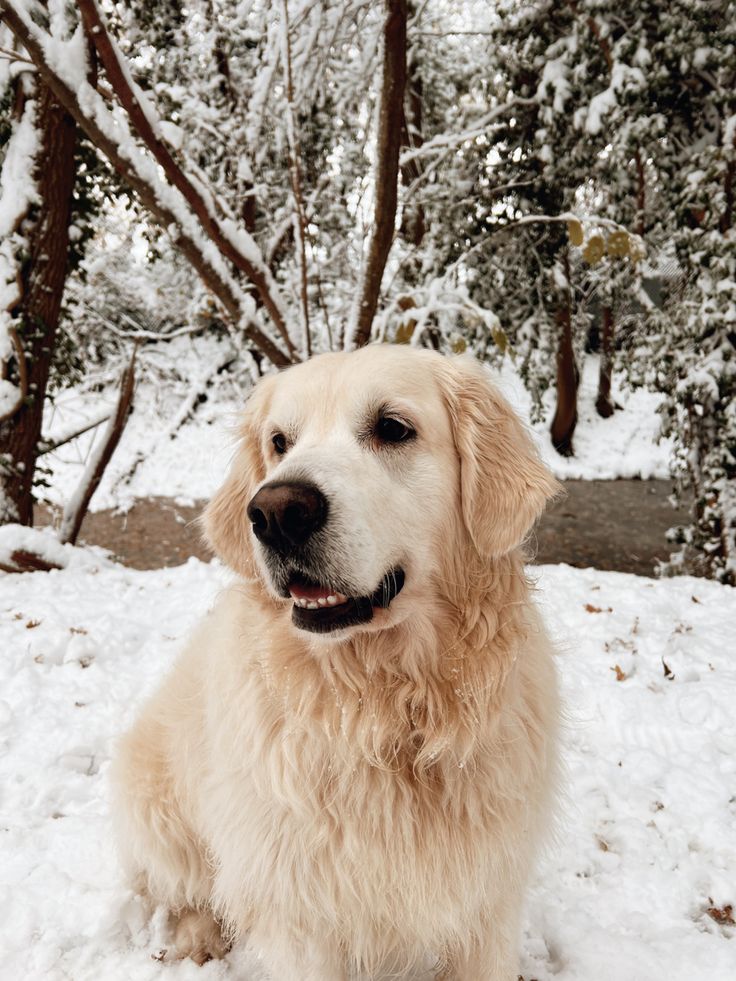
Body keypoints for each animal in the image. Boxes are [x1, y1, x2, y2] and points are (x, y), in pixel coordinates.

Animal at [112, 346, 560, 980]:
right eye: (279, 441)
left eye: (393, 428)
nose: (274, 512)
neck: (386, 710)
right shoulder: (300, 914)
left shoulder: (487, 904)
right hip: (156, 805)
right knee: (191, 890)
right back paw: (197, 940)